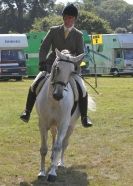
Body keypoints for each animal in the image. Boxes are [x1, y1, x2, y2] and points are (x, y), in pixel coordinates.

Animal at [35, 48, 95, 182]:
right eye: (57, 68)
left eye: (72, 71)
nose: (58, 95)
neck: (53, 101)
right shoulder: (43, 124)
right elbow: (44, 148)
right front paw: (41, 172)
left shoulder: (63, 124)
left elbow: (58, 146)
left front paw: (52, 173)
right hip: (53, 125)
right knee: (54, 137)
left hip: (70, 125)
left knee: (63, 143)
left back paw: (59, 163)